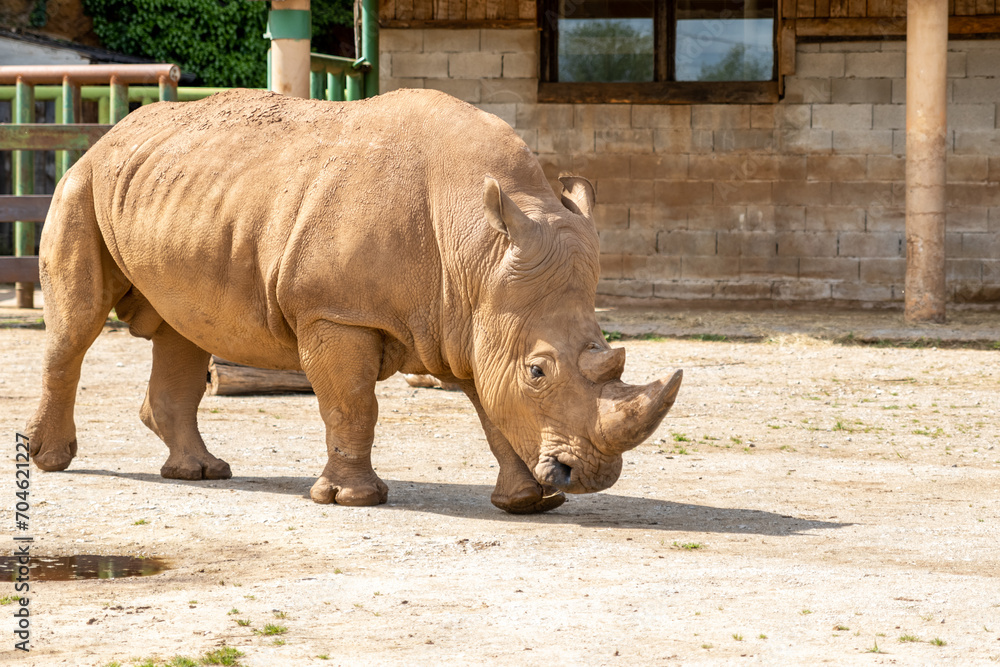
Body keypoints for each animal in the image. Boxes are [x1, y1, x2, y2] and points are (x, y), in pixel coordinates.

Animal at [25, 88, 682, 514]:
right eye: (538, 371)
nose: (593, 477)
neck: (475, 249)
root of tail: (109, 134)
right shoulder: (335, 312)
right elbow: (352, 405)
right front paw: (351, 499)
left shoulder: (469, 317)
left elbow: (490, 404)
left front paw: (529, 502)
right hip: (81, 184)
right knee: (76, 326)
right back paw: (52, 462)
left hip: (170, 198)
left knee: (183, 331)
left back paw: (203, 473)